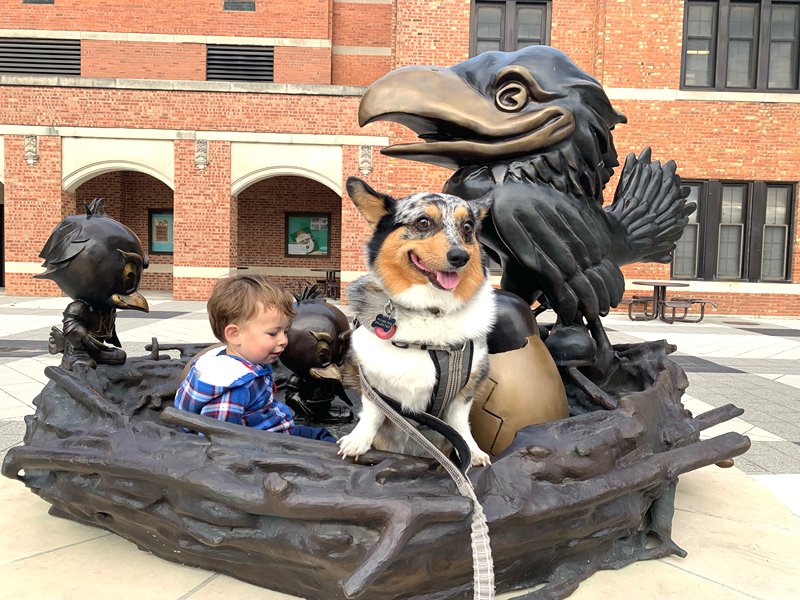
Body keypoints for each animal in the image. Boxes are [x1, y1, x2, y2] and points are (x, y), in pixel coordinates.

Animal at [336, 176, 494, 466]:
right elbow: (372, 413)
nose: (460, 257)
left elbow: (460, 424)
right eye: (423, 222)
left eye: (467, 227)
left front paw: (472, 451)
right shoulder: (372, 383)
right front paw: (357, 441)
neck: (429, 310)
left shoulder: (467, 387)